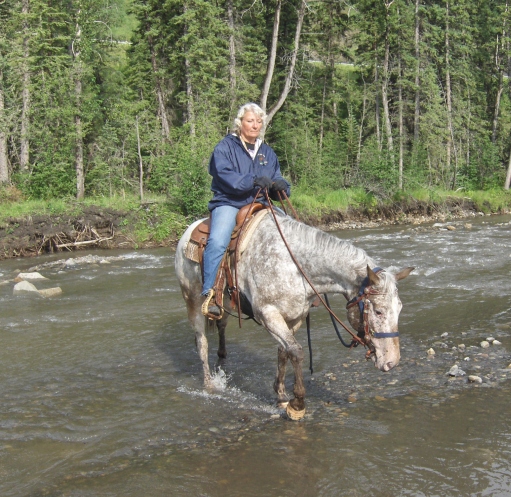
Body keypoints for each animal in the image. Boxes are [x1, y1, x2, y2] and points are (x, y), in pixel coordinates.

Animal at [174, 213, 414, 418]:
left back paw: (222, 355)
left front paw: (280, 395)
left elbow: (284, 352)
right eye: (378, 311)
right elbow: (296, 352)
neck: (294, 266)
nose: (392, 362)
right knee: (201, 342)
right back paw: (209, 384)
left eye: (400, 309)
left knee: (221, 324)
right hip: (192, 300)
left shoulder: (295, 316)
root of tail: (189, 230)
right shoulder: (268, 314)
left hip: (224, 302)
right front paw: (296, 404)